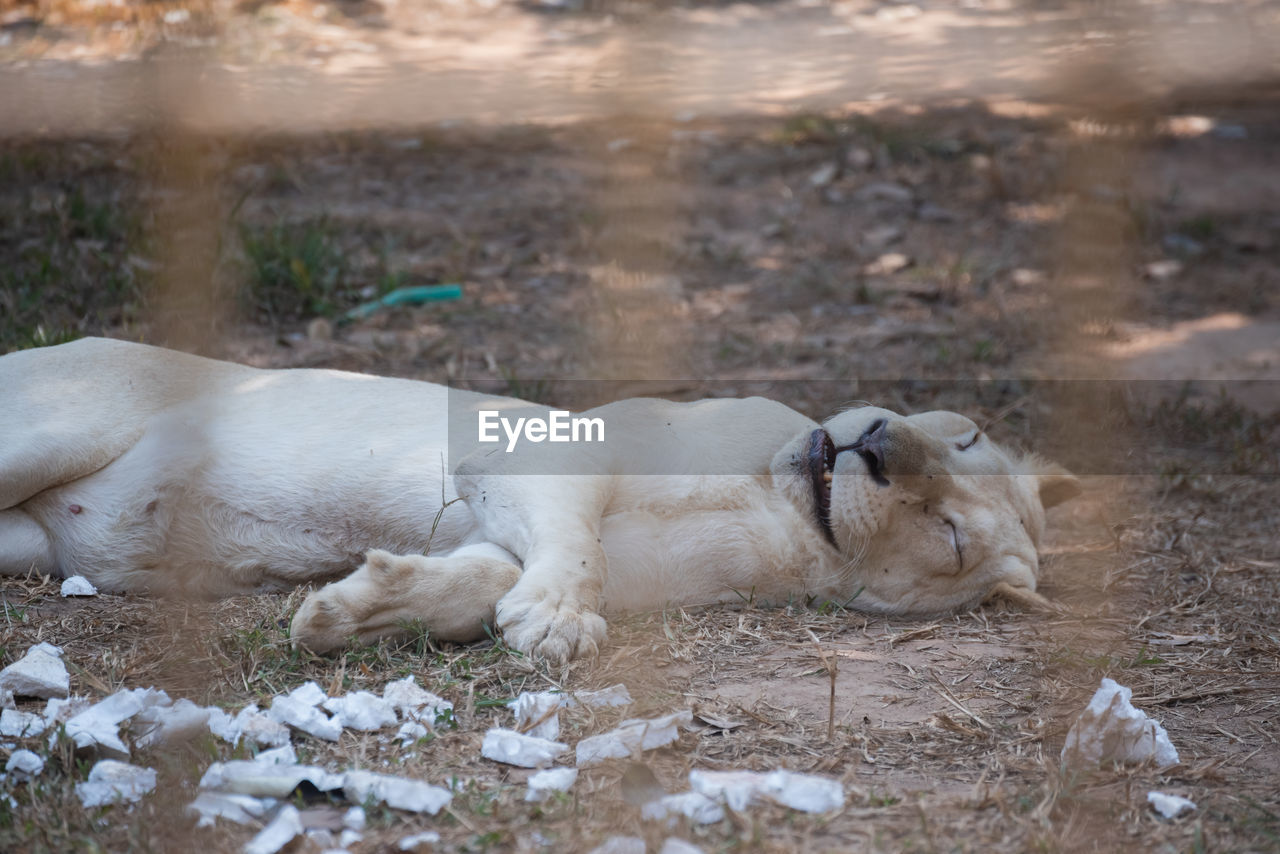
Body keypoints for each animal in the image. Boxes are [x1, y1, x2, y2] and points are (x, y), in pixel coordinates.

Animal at [0, 338, 1080, 665]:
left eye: (948, 532)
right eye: (963, 435)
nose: (878, 444)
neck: (790, 517)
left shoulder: (495, 532)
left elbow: (474, 584)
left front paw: (347, 610)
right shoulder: (533, 448)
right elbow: (574, 541)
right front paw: (558, 620)